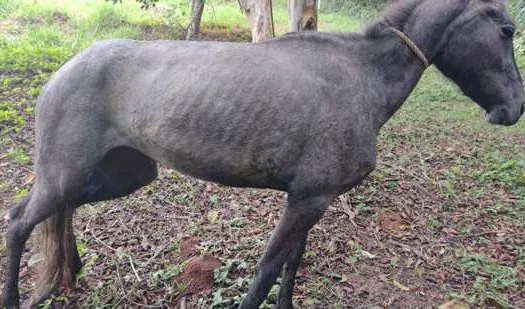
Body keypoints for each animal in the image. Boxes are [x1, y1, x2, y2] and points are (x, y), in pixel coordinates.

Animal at [1, 0, 524, 306]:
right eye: (506, 30)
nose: (514, 108)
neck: (361, 78)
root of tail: (66, 68)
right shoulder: (307, 199)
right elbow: (268, 269)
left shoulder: (312, 199)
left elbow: (292, 263)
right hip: (67, 173)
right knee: (21, 220)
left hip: (120, 175)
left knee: (61, 211)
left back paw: (68, 275)